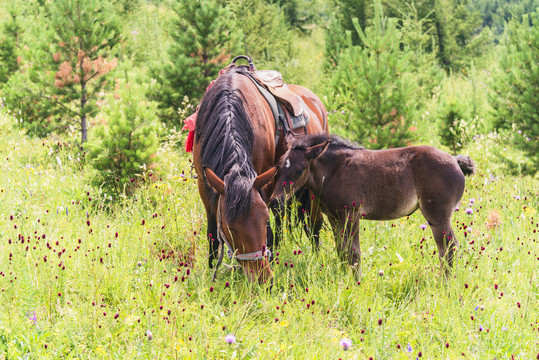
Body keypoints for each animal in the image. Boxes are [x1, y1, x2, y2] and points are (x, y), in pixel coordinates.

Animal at [195, 65, 330, 284]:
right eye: (231, 228)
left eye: (263, 219)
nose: (263, 279)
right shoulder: (205, 184)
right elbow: (212, 233)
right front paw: (211, 271)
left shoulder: (262, 180)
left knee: (312, 223)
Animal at [272, 134, 474, 278]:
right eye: (279, 166)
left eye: (300, 170)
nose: (275, 201)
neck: (335, 172)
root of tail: (455, 160)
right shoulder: (333, 217)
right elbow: (341, 250)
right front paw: (343, 278)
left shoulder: (351, 214)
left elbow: (353, 253)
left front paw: (356, 283)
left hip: (437, 214)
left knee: (448, 247)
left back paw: (445, 282)